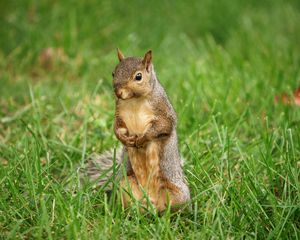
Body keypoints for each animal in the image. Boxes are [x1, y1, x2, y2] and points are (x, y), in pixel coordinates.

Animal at [82, 49, 190, 212]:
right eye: (113, 73)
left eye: (138, 76)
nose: (118, 92)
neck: (134, 100)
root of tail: (152, 202)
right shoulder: (119, 112)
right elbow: (117, 127)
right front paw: (123, 138)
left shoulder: (163, 110)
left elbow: (164, 126)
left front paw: (142, 138)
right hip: (124, 186)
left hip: (176, 194)